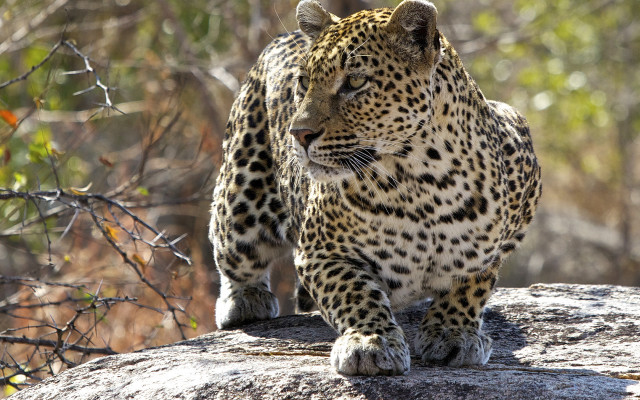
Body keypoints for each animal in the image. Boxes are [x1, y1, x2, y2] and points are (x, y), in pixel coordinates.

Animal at [209, 0, 541, 376]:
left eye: (355, 81)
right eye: (304, 82)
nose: (299, 133)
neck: (422, 182)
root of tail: (285, 35)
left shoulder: (496, 236)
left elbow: (471, 284)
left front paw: (453, 333)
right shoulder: (321, 253)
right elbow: (355, 293)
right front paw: (371, 343)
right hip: (240, 199)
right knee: (233, 251)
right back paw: (244, 301)